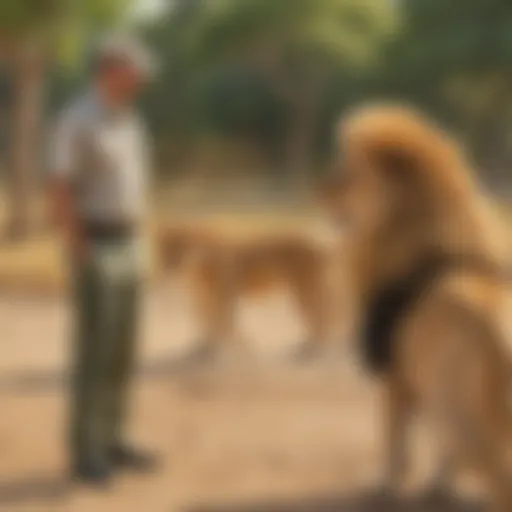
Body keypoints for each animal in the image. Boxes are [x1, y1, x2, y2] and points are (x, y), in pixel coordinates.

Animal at [158, 221, 346, 360]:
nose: (172, 267)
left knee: (320, 316)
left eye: (182, 247)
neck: (196, 268)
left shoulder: (225, 296)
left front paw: (226, 351)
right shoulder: (205, 297)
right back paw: (308, 346)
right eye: (166, 250)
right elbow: (208, 321)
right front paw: (203, 348)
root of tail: (320, 241)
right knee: (318, 316)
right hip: (304, 290)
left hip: (306, 288)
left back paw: (315, 350)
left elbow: (222, 323)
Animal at [322, 103, 512, 508]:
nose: (321, 190)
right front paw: (438, 487)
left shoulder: (395, 379)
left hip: (466, 417)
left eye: (349, 172)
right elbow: (442, 454)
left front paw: (384, 488)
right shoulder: (421, 383)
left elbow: (394, 444)